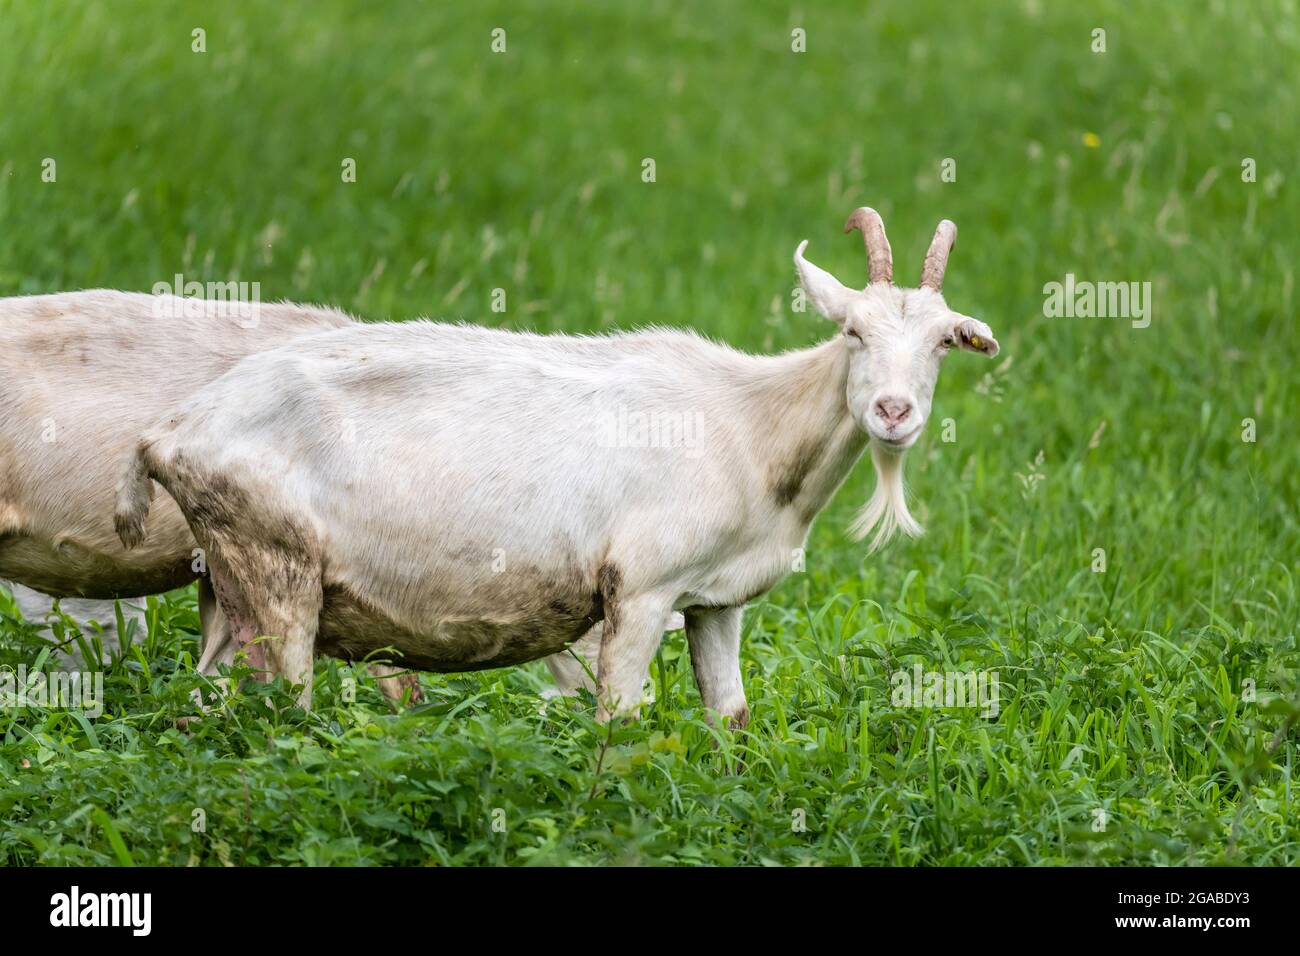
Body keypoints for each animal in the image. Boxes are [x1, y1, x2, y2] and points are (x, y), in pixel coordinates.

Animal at [116, 210, 999, 723]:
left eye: (944, 342)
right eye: (852, 331)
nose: (893, 412)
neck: (751, 424)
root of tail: (169, 433)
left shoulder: (717, 599)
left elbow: (730, 716)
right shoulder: (641, 589)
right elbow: (619, 720)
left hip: (225, 578)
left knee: (204, 698)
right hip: (277, 569)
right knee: (285, 706)